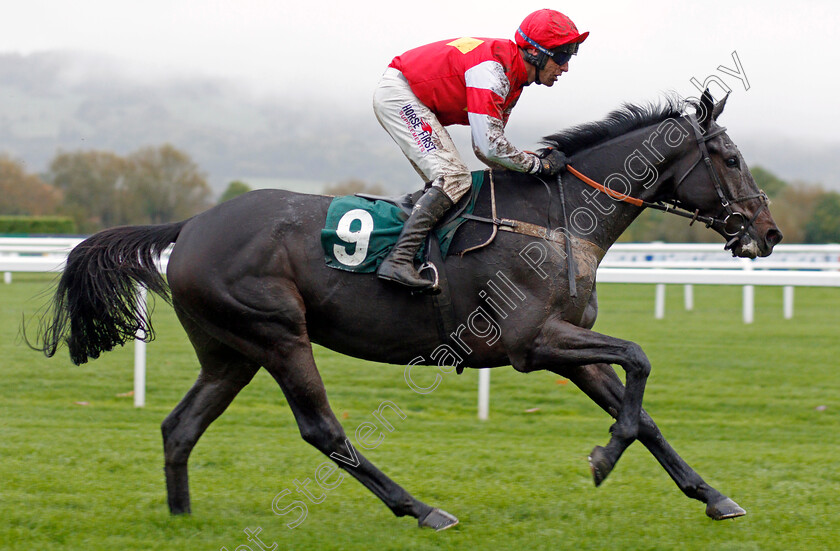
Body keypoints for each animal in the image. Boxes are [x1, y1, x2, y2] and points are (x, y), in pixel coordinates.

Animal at [31, 90, 780, 532]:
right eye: (731, 157)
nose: (768, 232)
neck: (556, 217)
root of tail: (191, 224)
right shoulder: (533, 343)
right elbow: (640, 361)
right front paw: (602, 457)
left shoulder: (566, 343)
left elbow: (643, 411)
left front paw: (714, 496)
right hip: (277, 335)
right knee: (322, 430)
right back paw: (420, 507)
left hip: (229, 351)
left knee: (180, 425)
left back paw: (182, 517)